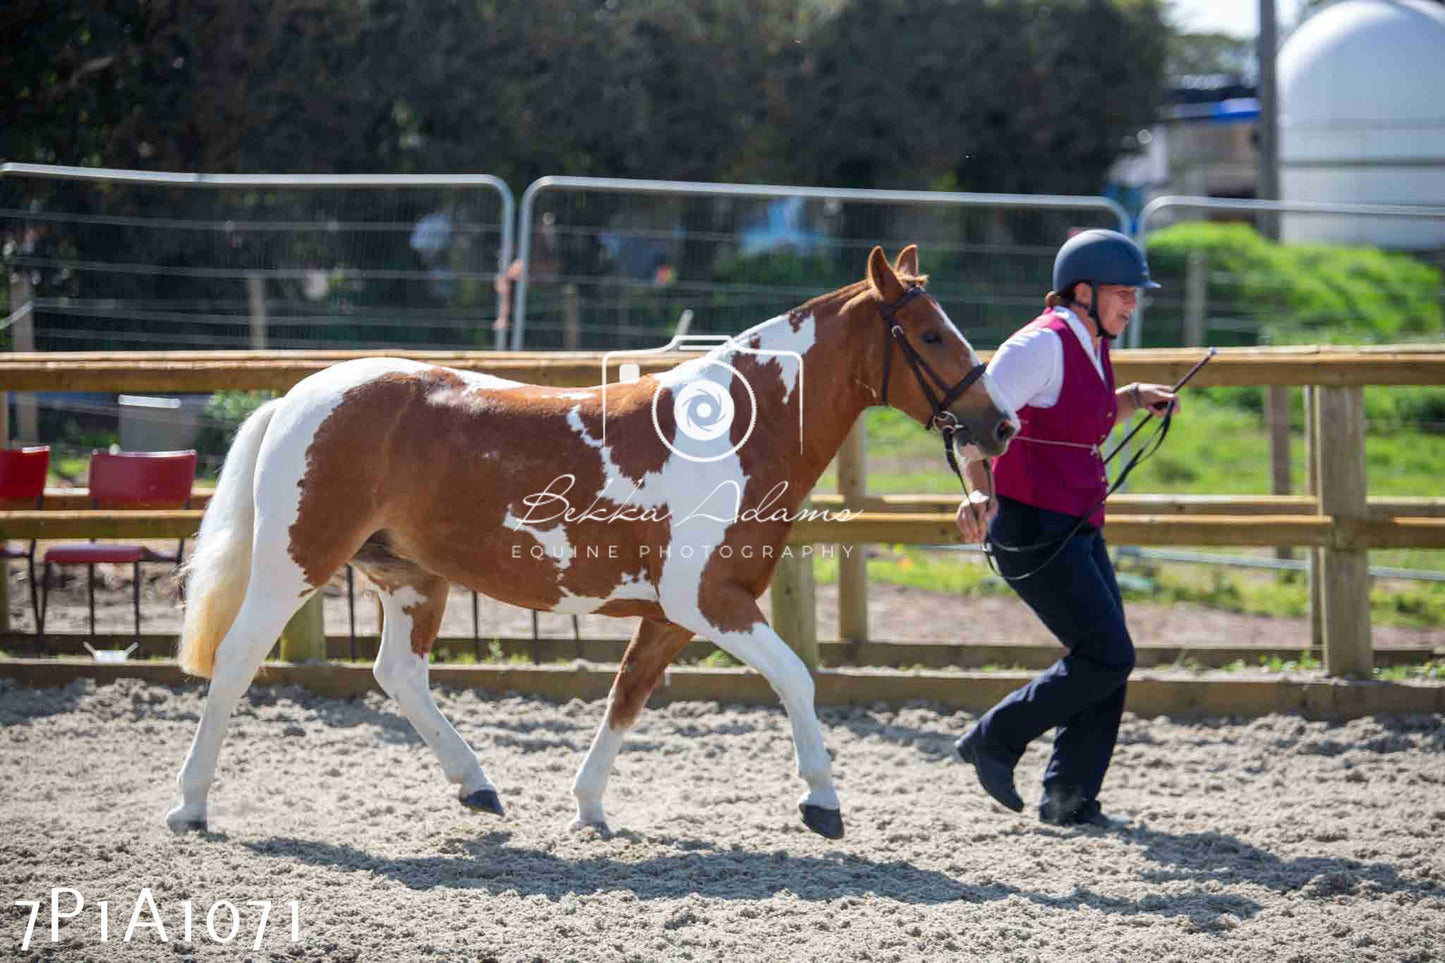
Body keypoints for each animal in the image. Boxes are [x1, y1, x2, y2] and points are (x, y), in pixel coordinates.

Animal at [169, 244, 1017, 838]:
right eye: (929, 334)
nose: (1000, 423)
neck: (739, 432)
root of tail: (298, 396)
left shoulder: (671, 616)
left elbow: (625, 697)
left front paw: (587, 807)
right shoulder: (709, 601)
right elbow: (796, 680)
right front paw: (822, 801)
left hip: (411, 576)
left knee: (399, 674)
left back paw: (477, 784)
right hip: (295, 564)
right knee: (238, 661)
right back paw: (190, 805)